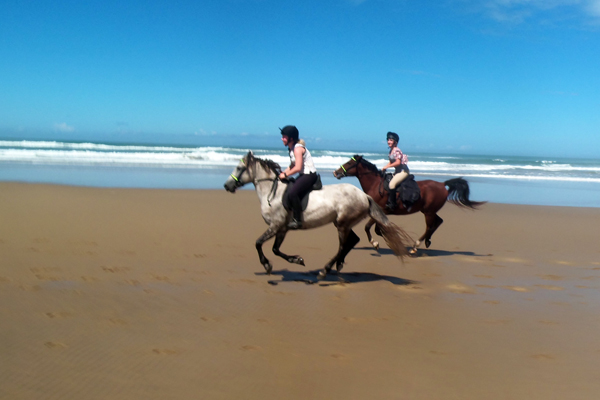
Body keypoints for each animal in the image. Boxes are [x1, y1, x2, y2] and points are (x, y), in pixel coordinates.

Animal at [336, 155, 486, 253]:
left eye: (349, 163)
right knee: (438, 222)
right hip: (428, 211)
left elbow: (368, 227)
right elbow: (378, 228)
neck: (375, 185)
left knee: (430, 226)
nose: (336, 172)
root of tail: (443, 185)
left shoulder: (380, 210)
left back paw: (416, 245)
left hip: (428, 212)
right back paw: (427, 241)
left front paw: (376, 243)